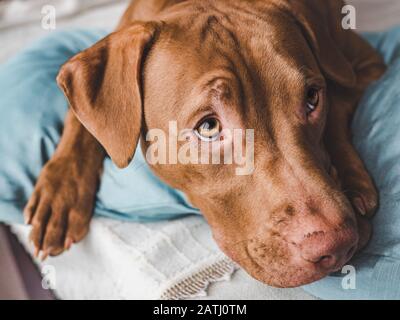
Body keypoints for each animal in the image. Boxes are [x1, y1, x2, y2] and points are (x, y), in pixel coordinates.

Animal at [23, 0, 386, 288]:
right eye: (209, 127)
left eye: (312, 98)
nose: (336, 244)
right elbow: (79, 120)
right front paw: (60, 195)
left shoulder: (365, 63)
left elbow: (338, 102)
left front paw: (353, 184)